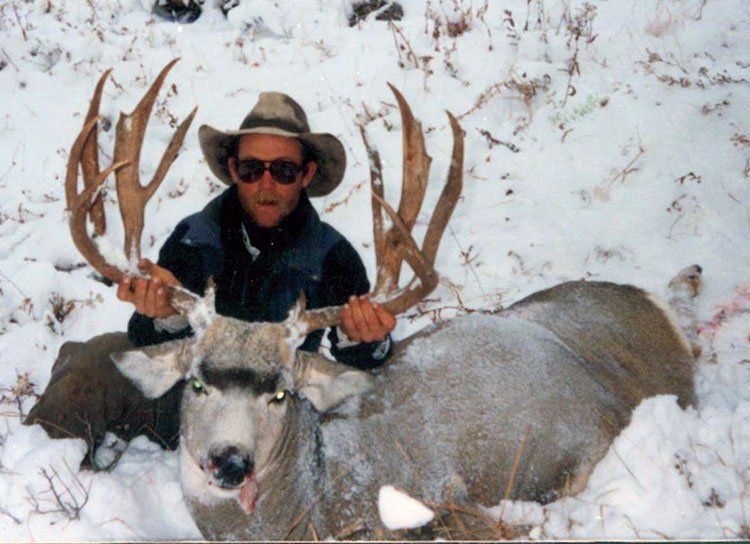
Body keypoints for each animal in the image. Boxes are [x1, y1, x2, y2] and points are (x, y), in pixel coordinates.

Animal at [59, 60, 699, 540]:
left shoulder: (442, 496)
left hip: (590, 441)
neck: (317, 502)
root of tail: (652, 310)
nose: (230, 461)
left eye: (281, 393)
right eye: (196, 382)